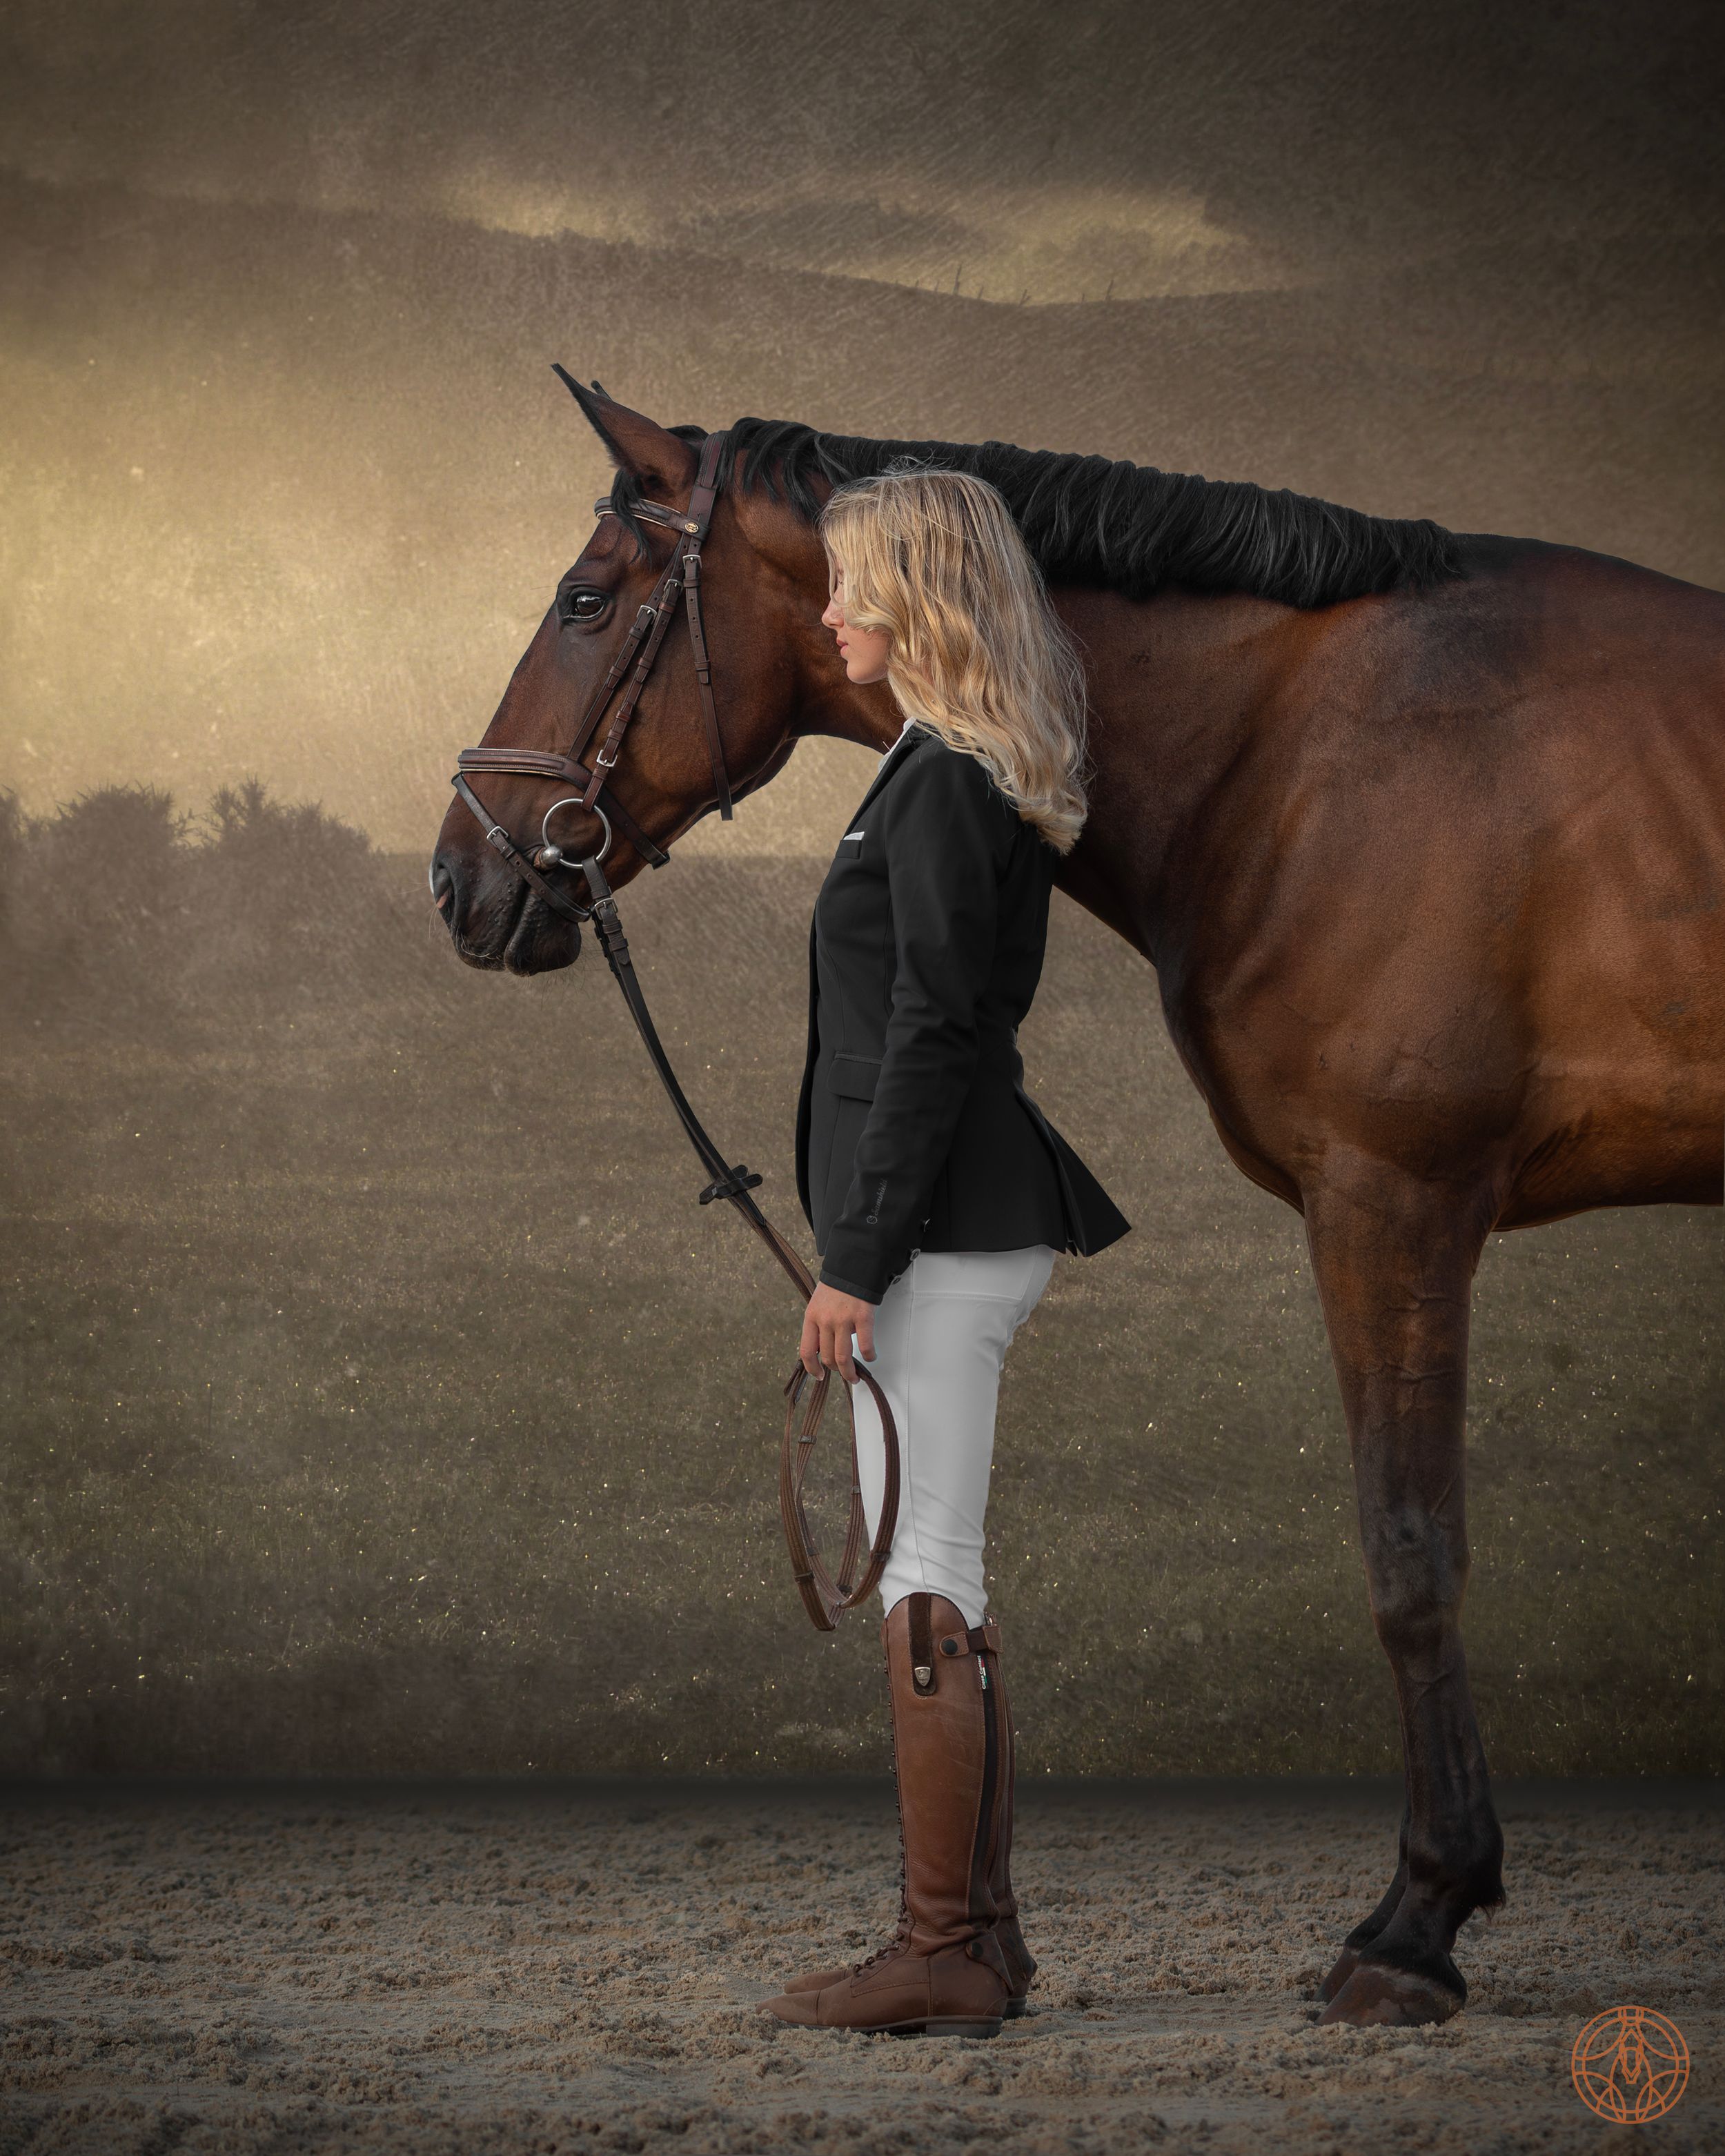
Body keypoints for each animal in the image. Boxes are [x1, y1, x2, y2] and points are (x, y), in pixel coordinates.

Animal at [430, 381, 1725, 2029]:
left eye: (585, 600)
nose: (456, 878)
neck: (1302, 749)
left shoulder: (1394, 1200)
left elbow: (1410, 1553)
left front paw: (1417, 1920)